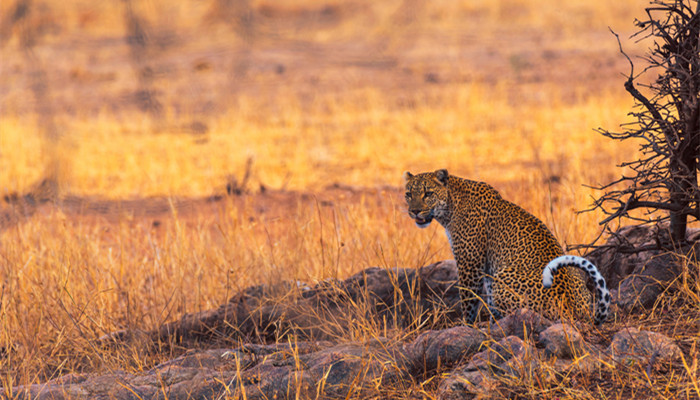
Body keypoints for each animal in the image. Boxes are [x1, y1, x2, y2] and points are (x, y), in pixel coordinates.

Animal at [402, 169, 608, 324]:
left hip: (504, 278)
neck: (451, 204)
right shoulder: (486, 265)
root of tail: (576, 311)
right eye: (408, 194)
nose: (414, 211)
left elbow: (468, 299)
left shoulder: (470, 262)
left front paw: (466, 324)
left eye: (428, 193)